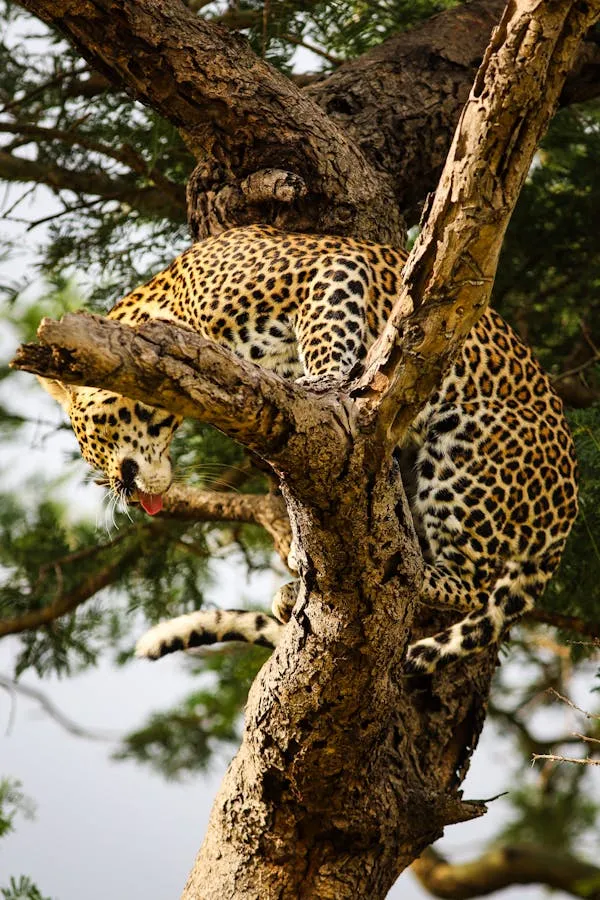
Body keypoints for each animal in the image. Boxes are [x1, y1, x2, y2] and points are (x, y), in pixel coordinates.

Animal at [39, 224, 578, 674]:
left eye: (91, 442)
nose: (124, 494)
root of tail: (566, 515)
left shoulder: (331, 269)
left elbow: (327, 334)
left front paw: (327, 383)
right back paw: (297, 588)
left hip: (468, 444)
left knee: (470, 584)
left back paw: (408, 572)